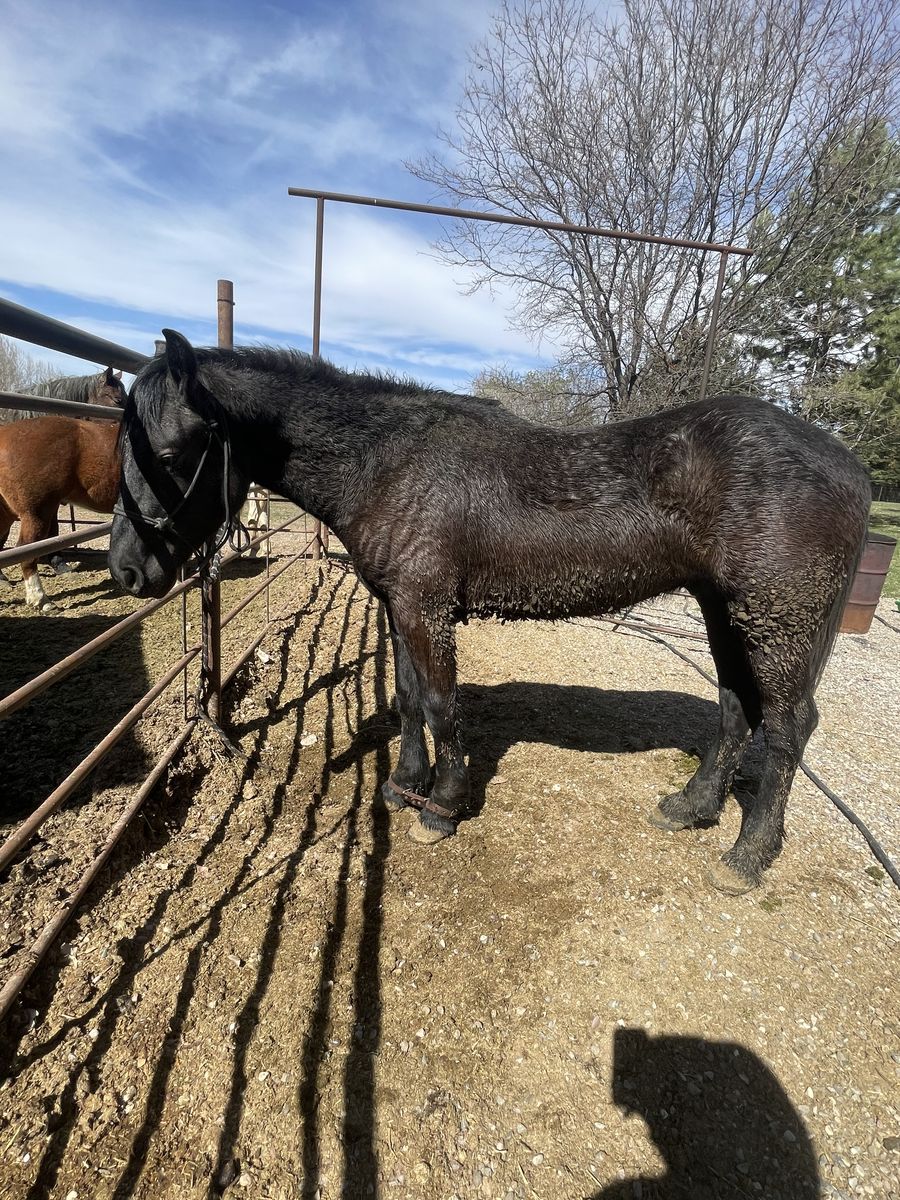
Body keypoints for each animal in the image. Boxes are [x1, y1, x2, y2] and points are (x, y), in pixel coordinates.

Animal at [108, 330, 871, 894]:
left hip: (776, 618)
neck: (386, 462)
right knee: (736, 706)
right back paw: (693, 807)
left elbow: (442, 703)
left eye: (171, 453)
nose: (126, 570)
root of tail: (851, 466)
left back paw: (747, 856)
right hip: (726, 610)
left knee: (788, 726)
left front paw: (443, 806)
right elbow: (409, 698)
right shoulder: (399, 603)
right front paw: (404, 786)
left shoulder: (427, 606)